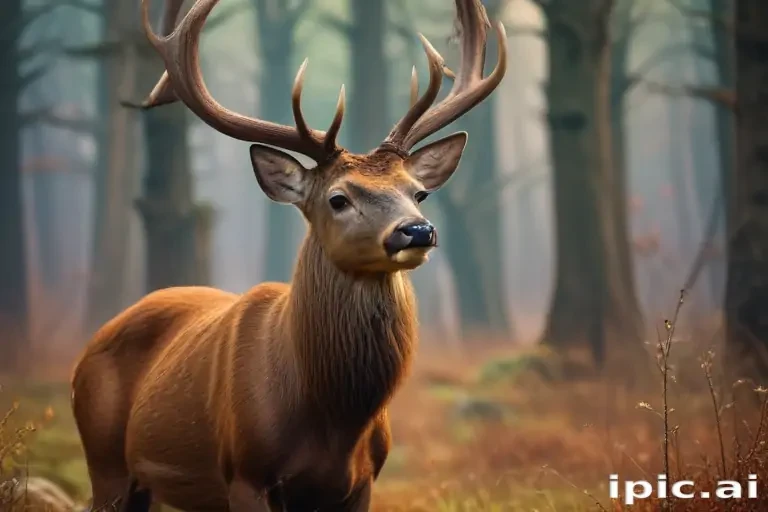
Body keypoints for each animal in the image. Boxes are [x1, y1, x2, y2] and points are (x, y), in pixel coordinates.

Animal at [70, 0, 507, 510]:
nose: (417, 231)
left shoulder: (363, 481)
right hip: (105, 459)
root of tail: (86, 351)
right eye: (338, 198)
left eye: (417, 193)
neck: (333, 421)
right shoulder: (246, 472)